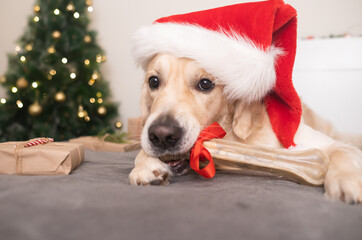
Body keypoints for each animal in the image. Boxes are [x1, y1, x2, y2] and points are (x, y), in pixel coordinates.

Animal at [129, 53, 362, 204]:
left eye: (205, 84)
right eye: (153, 81)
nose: (161, 136)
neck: (228, 137)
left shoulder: (324, 144)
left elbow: (342, 151)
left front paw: (346, 180)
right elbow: (140, 151)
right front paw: (145, 166)